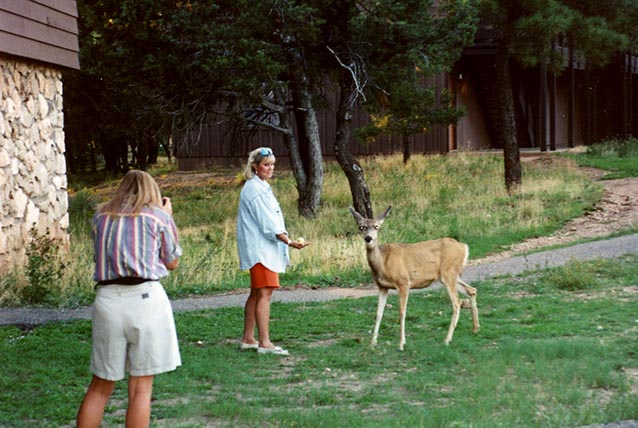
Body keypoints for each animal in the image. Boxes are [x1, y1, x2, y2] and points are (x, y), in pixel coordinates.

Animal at [350, 206, 479, 350]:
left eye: (376, 226)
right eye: (361, 227)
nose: (368, 238)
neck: (383, 262)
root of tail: (464, 247)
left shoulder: (403, 282)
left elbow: (402, 312)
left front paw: (401, 344)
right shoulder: (382, 287)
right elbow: (378, 313)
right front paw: (373, 343)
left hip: (448, 274)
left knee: (457, 302)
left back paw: (447, 339)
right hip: (450, 275)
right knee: (472, 290)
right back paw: (475, 329)